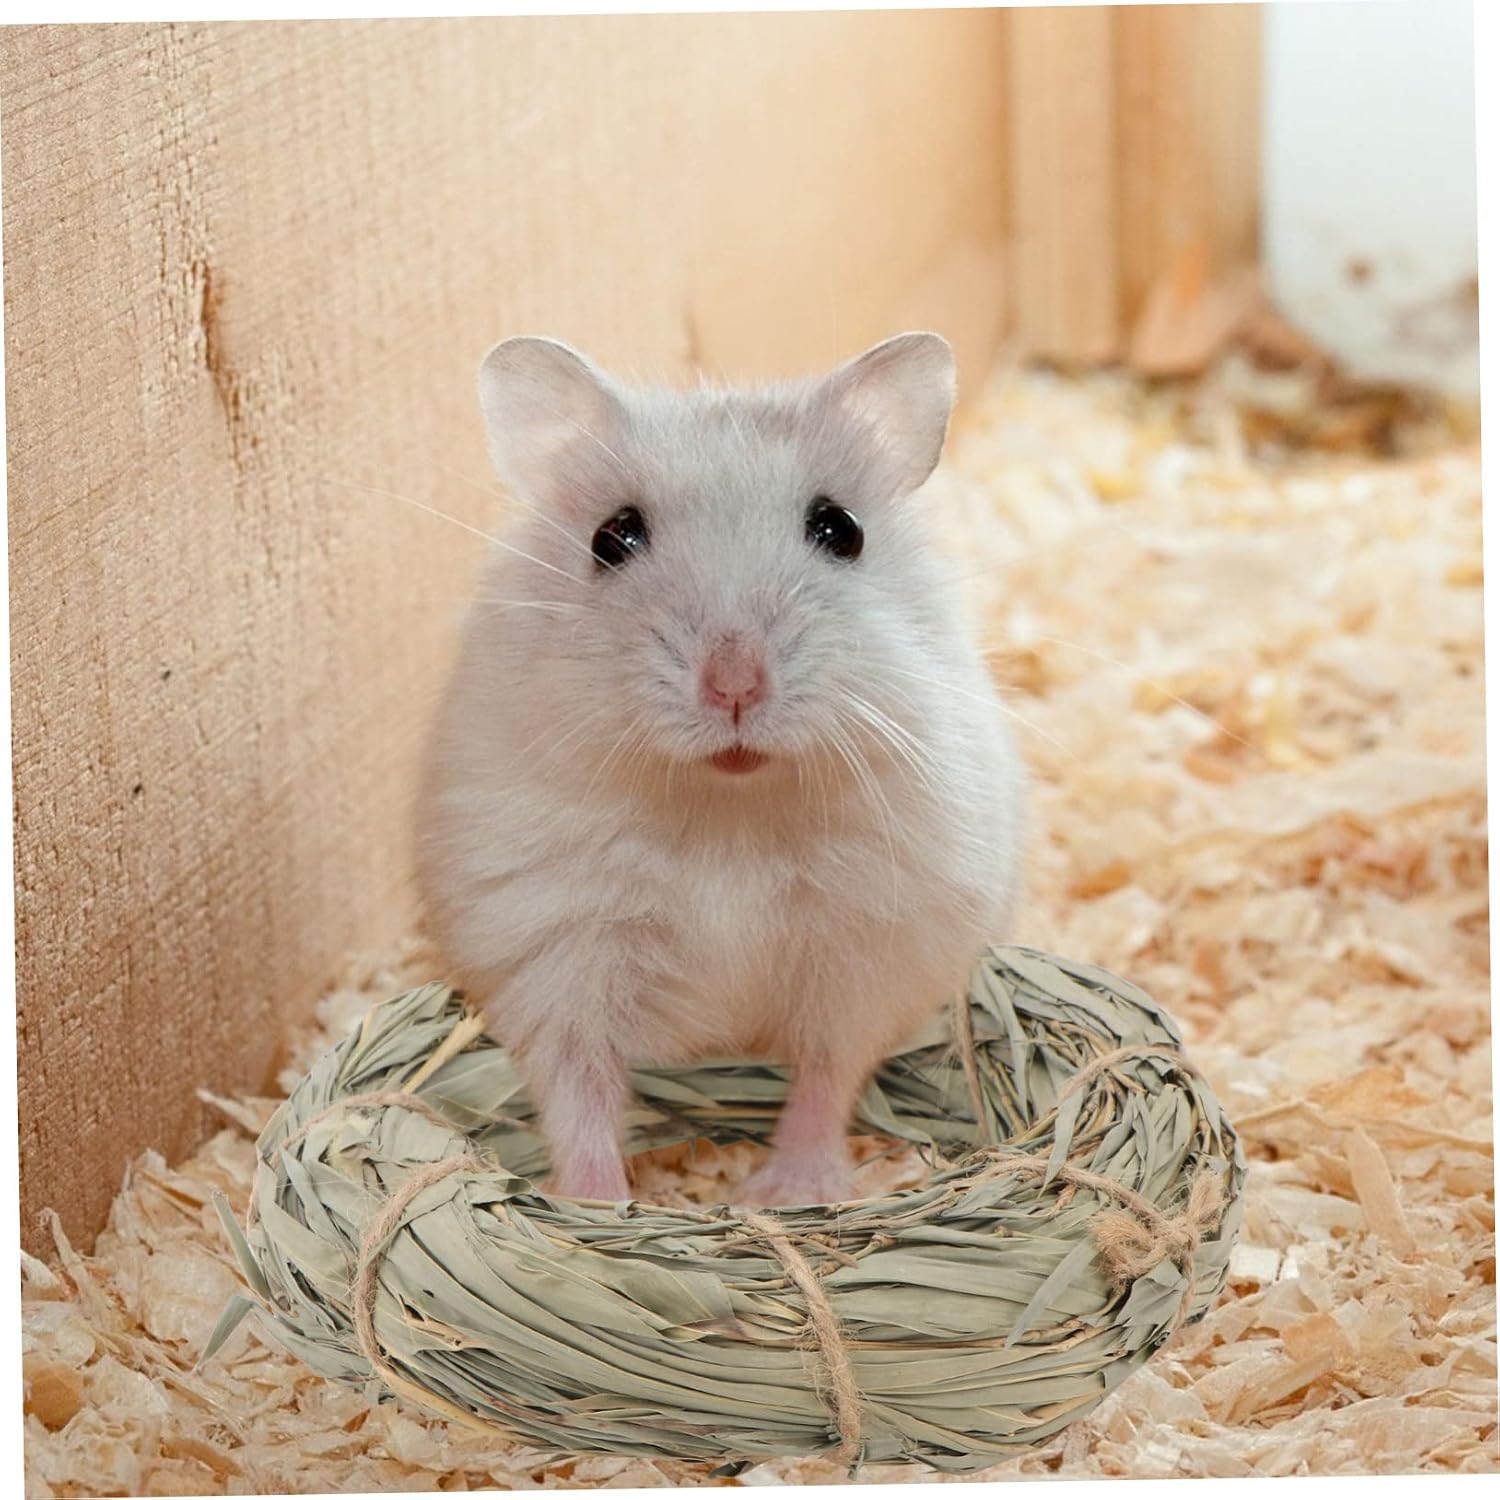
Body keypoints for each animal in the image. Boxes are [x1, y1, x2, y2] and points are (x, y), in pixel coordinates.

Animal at [416, 332, 1025, 1206]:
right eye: (612, 538)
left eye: (840, 529)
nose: (734, 684)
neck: (728, 807)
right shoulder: (557, 955)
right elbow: (579, 1092)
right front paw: (604, 1204)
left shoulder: (869, 952)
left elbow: (826, 1072)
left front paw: (785, 1192)